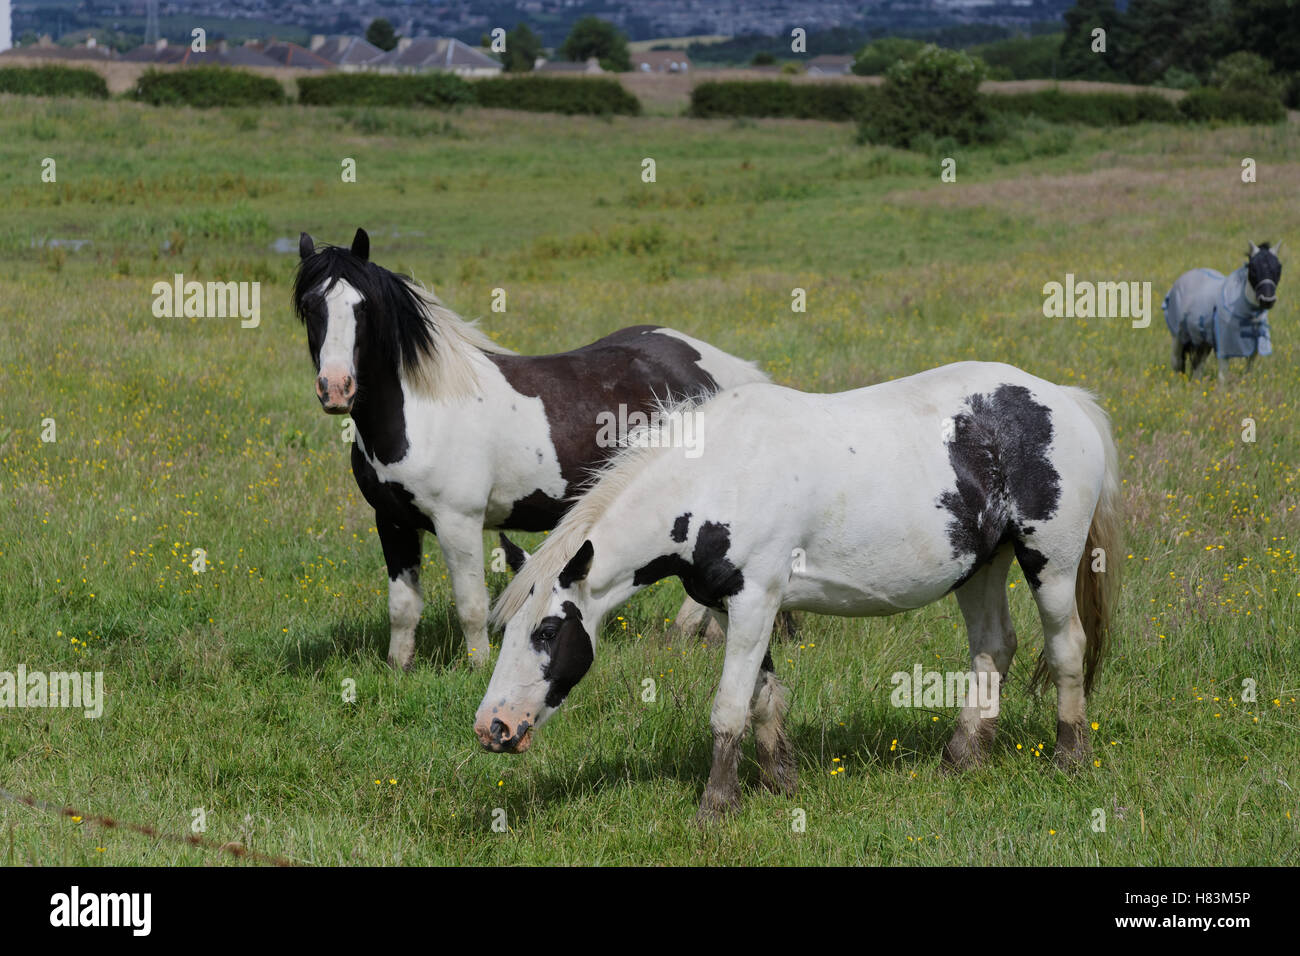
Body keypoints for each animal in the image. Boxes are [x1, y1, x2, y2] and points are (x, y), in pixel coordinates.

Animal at [292, 228, 769, 671]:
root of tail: (722, 369)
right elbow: (403, 608)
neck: (422, 412)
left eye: (363, 307)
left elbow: (472, 606)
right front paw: (399, 669)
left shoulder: (458, 522)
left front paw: (479, 667)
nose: (336, 388)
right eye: (311, 308)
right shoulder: (392, 521)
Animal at [475, 364, 1118, 822]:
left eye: (549, 630)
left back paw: (1070, 759)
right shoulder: (735, 607)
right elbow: (764, 701)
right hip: (981, 567)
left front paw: (716, 807)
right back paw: (962, 759)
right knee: (993, 650)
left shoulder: (754, 602)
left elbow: (729, 709)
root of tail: (1064, 400)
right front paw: (780, 783)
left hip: (1050, 564)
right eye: (506, 631)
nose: (492, 728)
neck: (717, 474)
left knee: (1066, 648)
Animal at [1170, 240, 1279, 379]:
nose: (1267, 300)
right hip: (1178, 338)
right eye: (1253, 268)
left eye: (1279, 268)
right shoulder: (1224, 347)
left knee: (1197, 367)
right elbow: (1223, 377)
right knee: (1177, 363)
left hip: (1203, 342)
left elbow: (1248, 373)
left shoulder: (1253, 350)